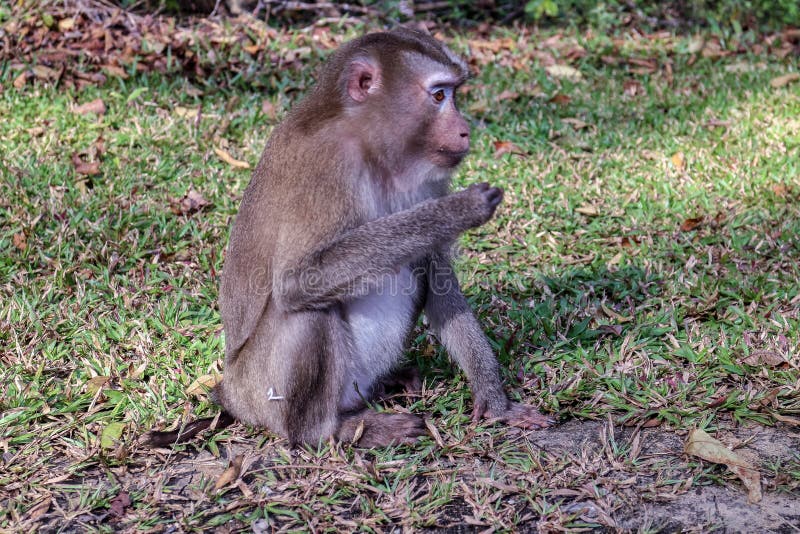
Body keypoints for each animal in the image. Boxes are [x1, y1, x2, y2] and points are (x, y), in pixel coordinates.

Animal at [144, 26, 552, 452]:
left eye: (454, 93)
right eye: (439, 95)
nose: (465, 130)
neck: (374, 148)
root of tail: (231, 394)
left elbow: (438, 278)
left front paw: (495, 402)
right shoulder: (325, 166)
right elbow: (296, 282)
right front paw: (458, 210)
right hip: (260, 395)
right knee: (309, 309)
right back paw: (327, 431)